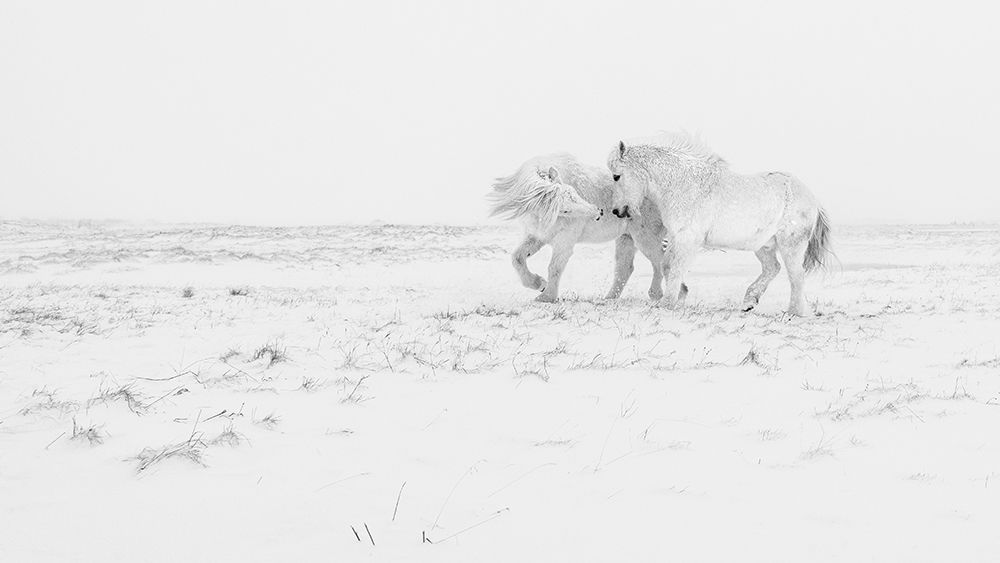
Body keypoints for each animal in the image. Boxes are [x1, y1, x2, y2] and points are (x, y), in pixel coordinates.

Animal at [489, 153, 686, 303]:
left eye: (575, 192)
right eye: (565, 209)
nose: (598, 212)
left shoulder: (565, 238)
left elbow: (555, 267)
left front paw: (546, 297)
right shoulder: (538, 235)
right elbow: (517, 258)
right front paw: (539, 284)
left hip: (645, 234)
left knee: (660, 261)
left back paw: (670, 294)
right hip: (627, 237)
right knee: (625, 268)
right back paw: (610, 299)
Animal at [606, 133, 831, 316]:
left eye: (617, 176)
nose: (617, 211)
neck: (683, 185)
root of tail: (812, 198)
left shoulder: (687, 239)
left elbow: (675, 268)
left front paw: (666, 303)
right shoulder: (677, 237)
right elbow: (667, 266)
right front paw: (674, 300)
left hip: (790, 245)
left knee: (796, 276)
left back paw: (795, 312)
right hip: (763, 246)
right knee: (772, 268)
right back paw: (749, 302)